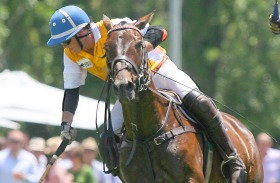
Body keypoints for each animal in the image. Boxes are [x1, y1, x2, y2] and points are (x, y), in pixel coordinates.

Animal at [102, 12, 262, 182]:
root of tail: (244, 130)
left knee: (202, 104)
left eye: (139, 44)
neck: (148, 136)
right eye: (107, 47)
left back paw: (236, 166)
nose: (124, 85)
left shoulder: (192, 177)